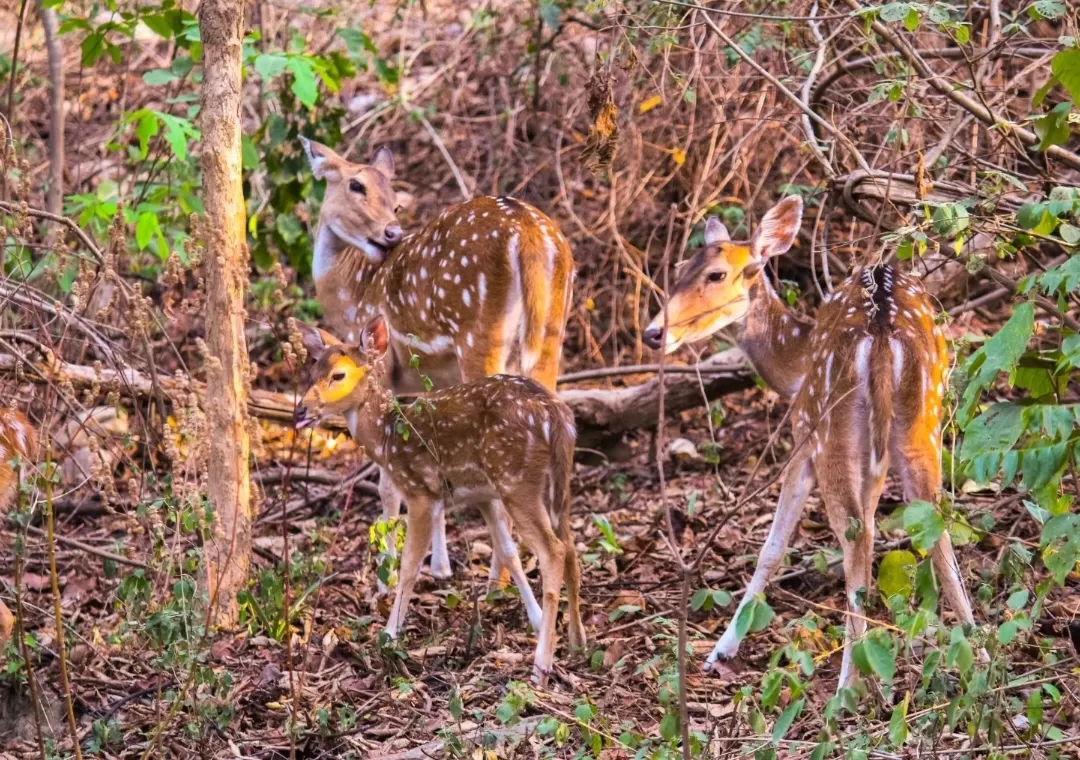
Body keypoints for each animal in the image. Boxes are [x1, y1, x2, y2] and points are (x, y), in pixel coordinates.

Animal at [295, 315, 587, 682]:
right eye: (312, 370)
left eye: (338, 375)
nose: (301, 410)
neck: (387, 438)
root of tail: (557, 416)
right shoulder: (482, 493)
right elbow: (508, 552)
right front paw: (533, 619)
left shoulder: (421, 492)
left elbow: (409, 564)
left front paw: (390, 634)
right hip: (552, 483)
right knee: (571, 548)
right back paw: (577, 641)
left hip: (516, 480)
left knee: (554, 551)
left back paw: (541, 667)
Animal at [300, 136, 578, 582]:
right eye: (356, 185)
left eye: (395, 200)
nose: (391, 233)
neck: (351, 292)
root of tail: (532, 237)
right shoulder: (433, 379)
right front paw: (441, 566)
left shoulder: (383, 366)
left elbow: (389, 482)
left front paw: (388, 571)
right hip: (552, 330)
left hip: (480, 334)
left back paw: (498, 578)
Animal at [643, 194, 984, 690]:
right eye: (681, 269)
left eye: (717, 274)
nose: (654, 333)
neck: (796, 362)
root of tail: (882, 334)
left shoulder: (802, 437)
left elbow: (772, 547)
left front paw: (721, 650)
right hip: (923, 421)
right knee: (930, 523)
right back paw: (980, 652)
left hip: (830, 429)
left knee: (856, 536)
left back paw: (846, 686)